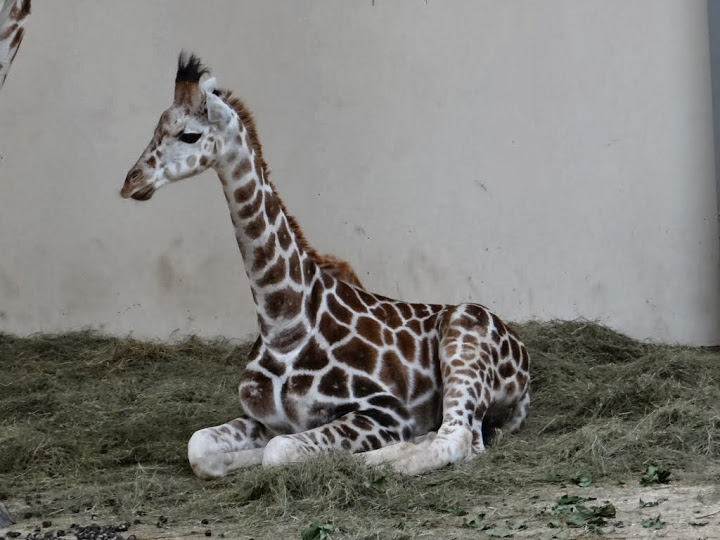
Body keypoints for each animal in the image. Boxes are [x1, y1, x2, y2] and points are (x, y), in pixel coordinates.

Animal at [120, 53, 530, 477]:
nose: (131, 183)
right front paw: (240, 460)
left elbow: (279, 451)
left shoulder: (385, 411)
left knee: (457, 439)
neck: (282, 323)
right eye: (155, 128)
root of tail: (523, 359)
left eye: (189, 135)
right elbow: (201, 447)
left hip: (465, 343)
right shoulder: (265, 419)